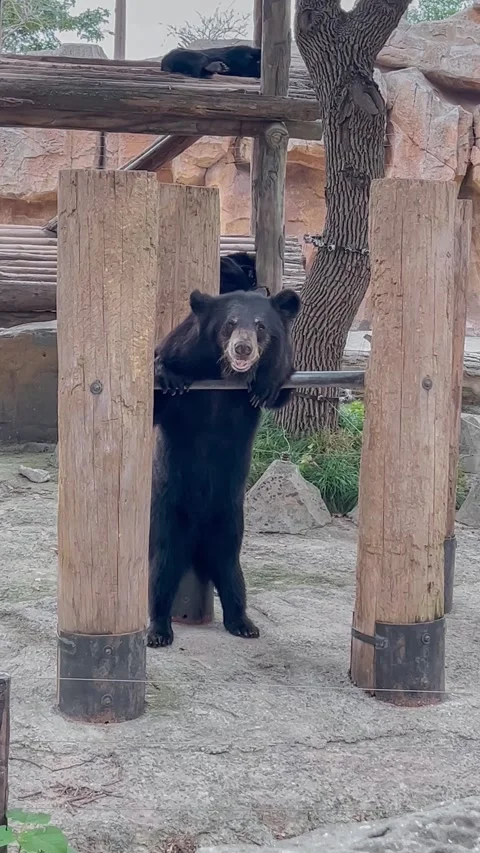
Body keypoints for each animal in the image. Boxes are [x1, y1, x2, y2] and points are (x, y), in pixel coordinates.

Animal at [149, 287, 300, 647]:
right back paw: (159, 630)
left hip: (230, 521)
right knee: (163, 570)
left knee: (231, 571)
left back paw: (243, 622)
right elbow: (157, 396)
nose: (242, 348)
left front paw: (266, 384)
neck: (225, 375)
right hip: (168, 512)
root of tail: (197, 544)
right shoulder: (184, 355)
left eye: (260, 326)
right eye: (229, 324)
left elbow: (281, 386)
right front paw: (167, 374)